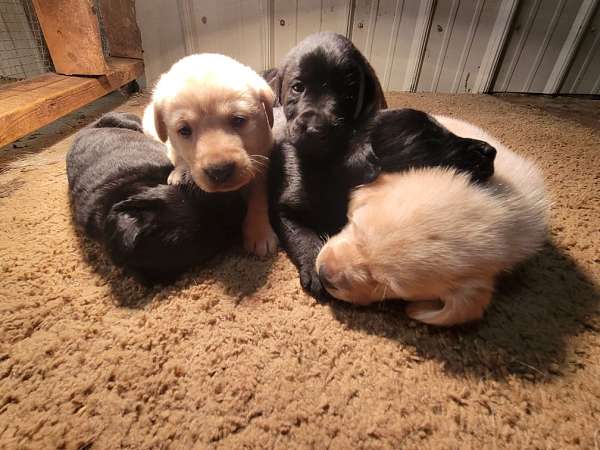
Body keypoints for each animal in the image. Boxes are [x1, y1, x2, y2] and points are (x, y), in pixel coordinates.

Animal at [144, 53, 278, 256]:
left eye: (238, 120)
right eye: (184, 130)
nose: (219, 171)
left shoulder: (263, 158)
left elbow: (258, 197)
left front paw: (259, 233)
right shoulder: (172, 145)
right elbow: (178, 154)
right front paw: (180, 171)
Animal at [268, 30, 496, 298]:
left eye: (348, 95)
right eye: (428, 139)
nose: (491, 151)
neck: (327, 166)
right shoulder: (284, 210)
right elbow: (303, 237)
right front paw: (314, 267)